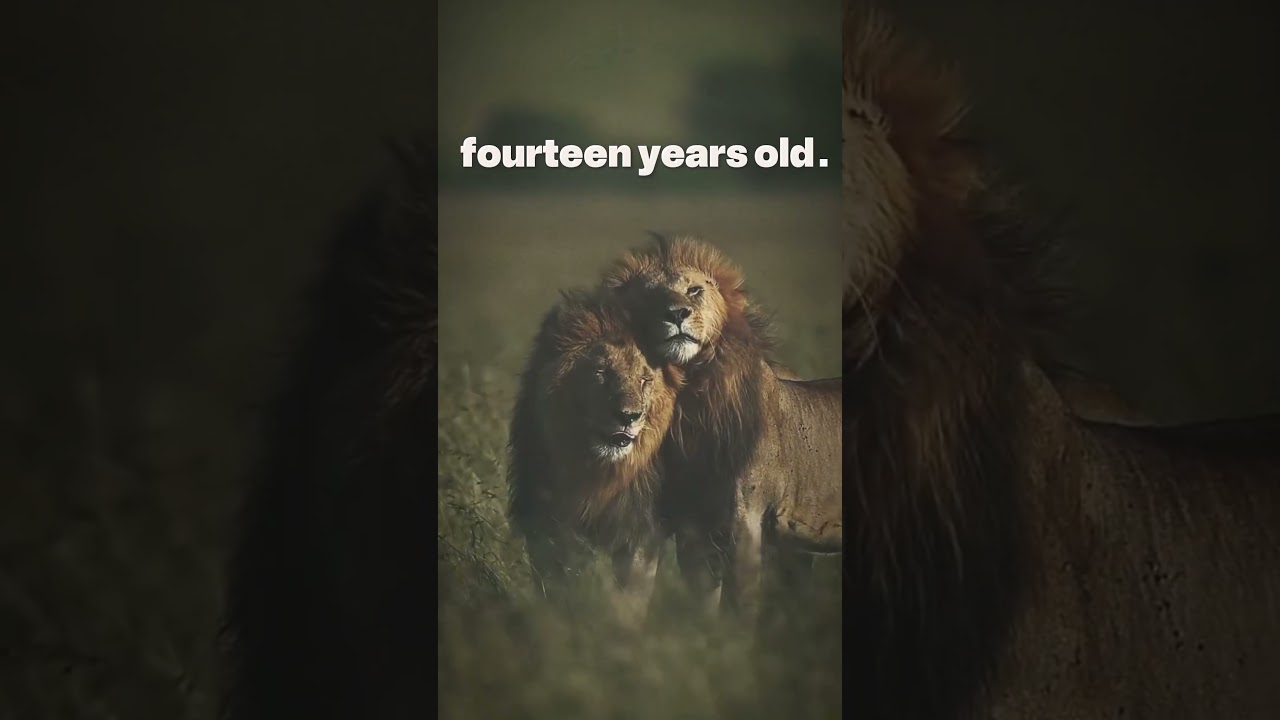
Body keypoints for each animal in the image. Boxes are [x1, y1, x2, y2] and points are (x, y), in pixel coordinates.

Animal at [507, 286, 684, 628]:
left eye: (644, 380)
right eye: (601, 372)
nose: (628, 416)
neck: (598, 474)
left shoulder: (639, 527)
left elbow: (630, 598)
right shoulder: (547, 522)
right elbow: (558, 584)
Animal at [601, 234, 843, 629]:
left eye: (694, 290)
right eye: (651, 295)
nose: (677, 314)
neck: (693, 401)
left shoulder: (745, 521)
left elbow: (739, 606)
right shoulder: (693, 529)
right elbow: (703, 602)